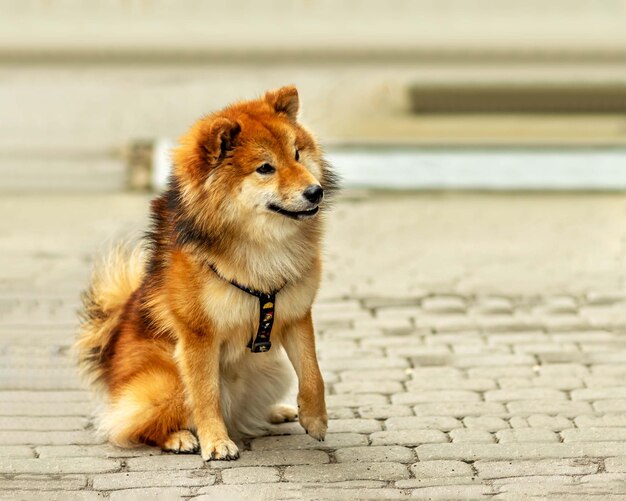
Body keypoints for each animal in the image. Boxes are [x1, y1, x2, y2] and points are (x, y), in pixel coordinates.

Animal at [75, 85, 338, 458]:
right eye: (265, 168)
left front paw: (315, 419)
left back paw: (276, 412)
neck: (260, 245)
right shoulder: (198, 335)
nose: (316, 191)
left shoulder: (295, 314)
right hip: (166, 382)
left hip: (272, 369)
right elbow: (205, 392)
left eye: (297, 155)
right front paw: (216, 441)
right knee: (135, 425)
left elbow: (313, 373)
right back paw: (180, 438)